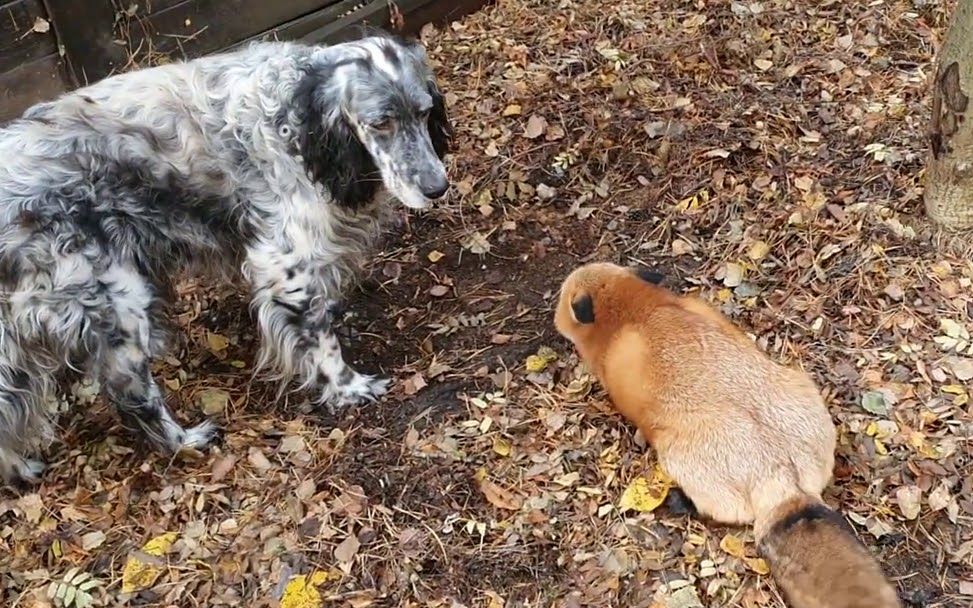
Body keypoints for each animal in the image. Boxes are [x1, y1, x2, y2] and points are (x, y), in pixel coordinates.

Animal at [0, 32, 451, 488]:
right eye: (381, 123)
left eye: (423, 112)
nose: (438, 187)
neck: (294, 118)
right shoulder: (285, 266)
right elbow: (320, 339)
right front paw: (348, 388)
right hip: (121, 304)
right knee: (133, 396)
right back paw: (185, 441)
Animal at [554, 262, 901, 608]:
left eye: (563, 298)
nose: (554, 319)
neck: (637, 312)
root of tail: (781, 478)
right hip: (800, 382)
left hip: (679, 459)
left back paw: (677, 502)